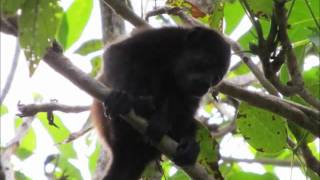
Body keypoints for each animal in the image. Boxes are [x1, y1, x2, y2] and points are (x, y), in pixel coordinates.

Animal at [91, 26, 231, 179]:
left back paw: (188, 144)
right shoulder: (162, 37)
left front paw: (163, 123)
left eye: (216, 77)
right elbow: (117, 53)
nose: (206, 84)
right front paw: (122, 98)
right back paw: (139, 106)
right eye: (206, 62)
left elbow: (187, 104)